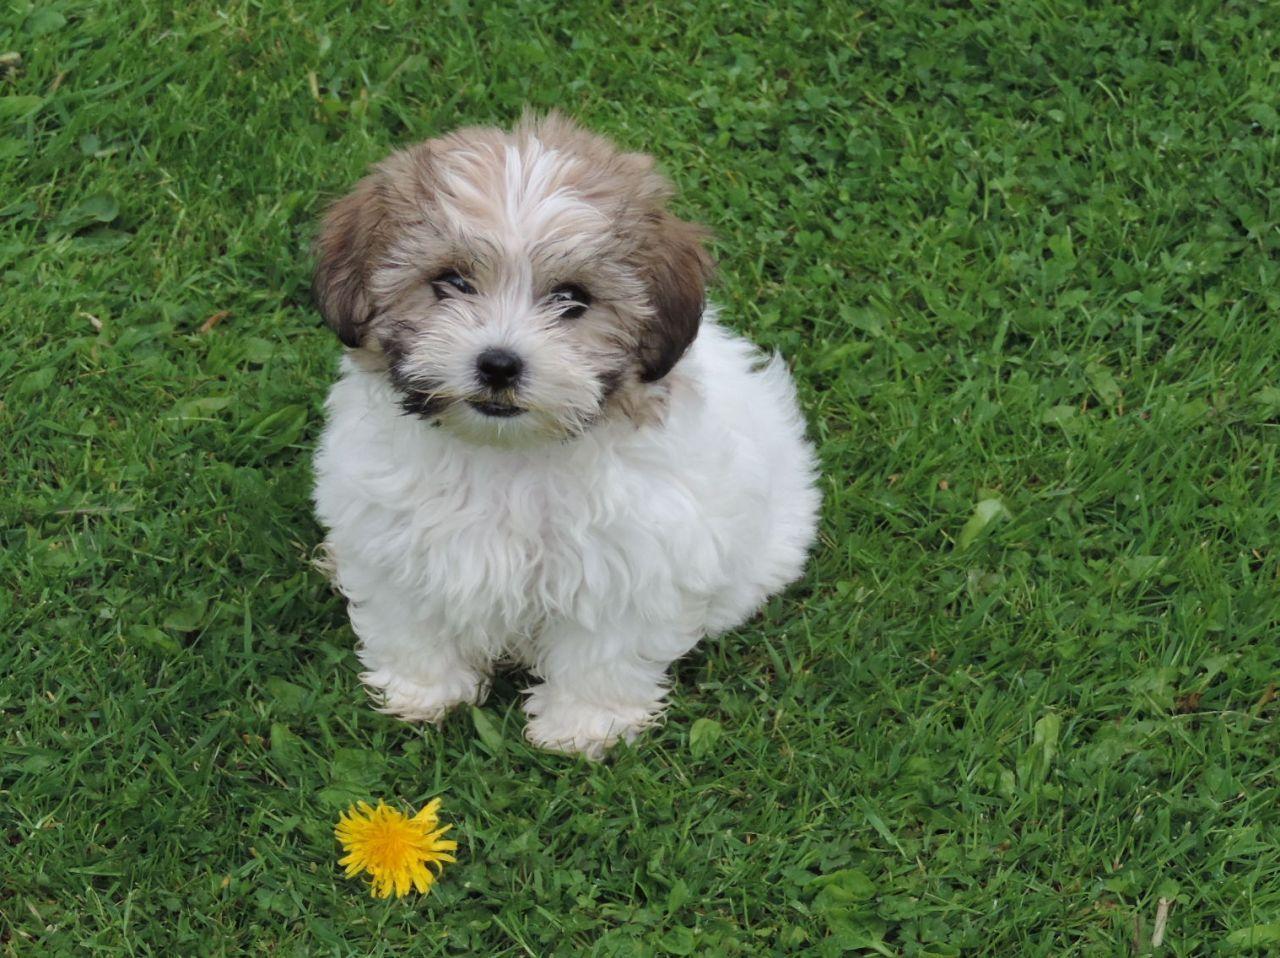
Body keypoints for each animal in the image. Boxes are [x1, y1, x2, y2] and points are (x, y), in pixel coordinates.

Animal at [314, 113, 824, 758]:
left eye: (572, 299)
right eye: (451, 281)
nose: (499, 364)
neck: (508, 454)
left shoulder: (630, 558)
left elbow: (602, 648)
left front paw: (583, 725)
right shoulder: (394, 536)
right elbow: (411, 617)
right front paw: (422, 690)